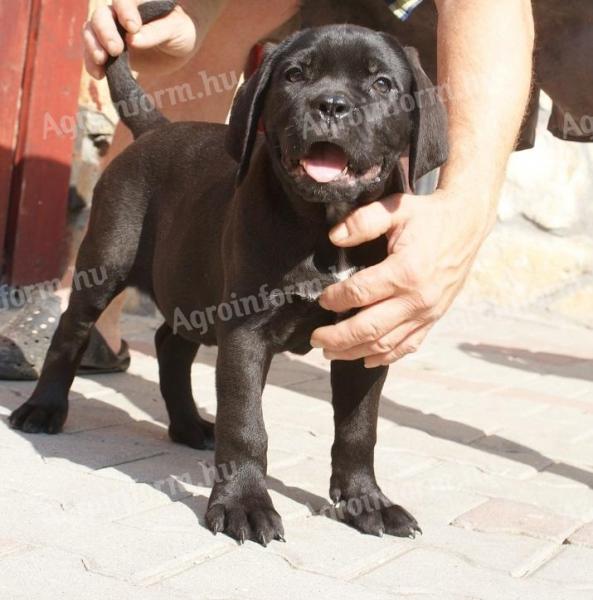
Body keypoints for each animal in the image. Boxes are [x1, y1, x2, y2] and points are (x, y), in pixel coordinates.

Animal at [10, 0, 444, 544]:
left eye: (382, 83)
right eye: (295, 75)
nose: (331, 105)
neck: (323, 224)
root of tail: (157, 127)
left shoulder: (368, 335)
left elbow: (359, 428)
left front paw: (367, 501)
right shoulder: (245, 331)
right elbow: (246, 423)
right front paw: (244, 504)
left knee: (169, 344)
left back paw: (189, 426)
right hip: (106, 261)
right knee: (71, 332)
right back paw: (44, 408)